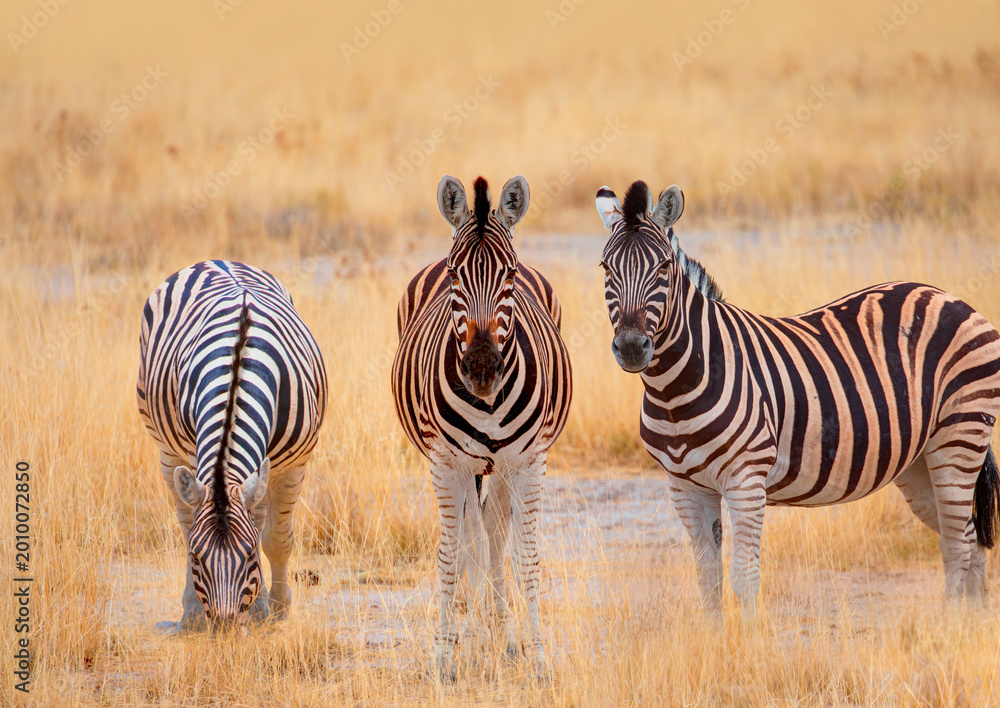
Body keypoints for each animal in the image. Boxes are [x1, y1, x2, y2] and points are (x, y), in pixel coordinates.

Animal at [136, 260, 327, 631]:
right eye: (197, 558)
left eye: (250, 554)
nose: (224, 627)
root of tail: (214, 261)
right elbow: (193, 528)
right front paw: (251, 609)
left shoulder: (293, 465)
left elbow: (276, 538)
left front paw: (277, 609)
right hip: (167, 449)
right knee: (186, 521)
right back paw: (192, 611)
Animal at [392, 175, 572, 674]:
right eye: (455, 276)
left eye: (509, 276)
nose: (482, 370)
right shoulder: (446, 463)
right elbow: (451, 554)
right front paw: (444, 656)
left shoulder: (528, 462)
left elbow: (525, 556)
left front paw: (538, 657)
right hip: (468, 466)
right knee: (473, 539)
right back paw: (474, 636)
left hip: (500, 466)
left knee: (492, 531)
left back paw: (500, 634)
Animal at [594, 180, 1000, 616]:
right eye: (606, 268)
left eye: (664, 268)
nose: (631, 348)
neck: (673, 392)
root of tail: (948, 296)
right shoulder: (684, 487)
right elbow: (708, 582)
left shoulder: (746, 479)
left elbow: (744, 580)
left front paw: (748, 638)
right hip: (920, 460)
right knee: (969, 540)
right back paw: (971, 624)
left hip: (959, 435)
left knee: (958, 544)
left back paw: (950, 624)